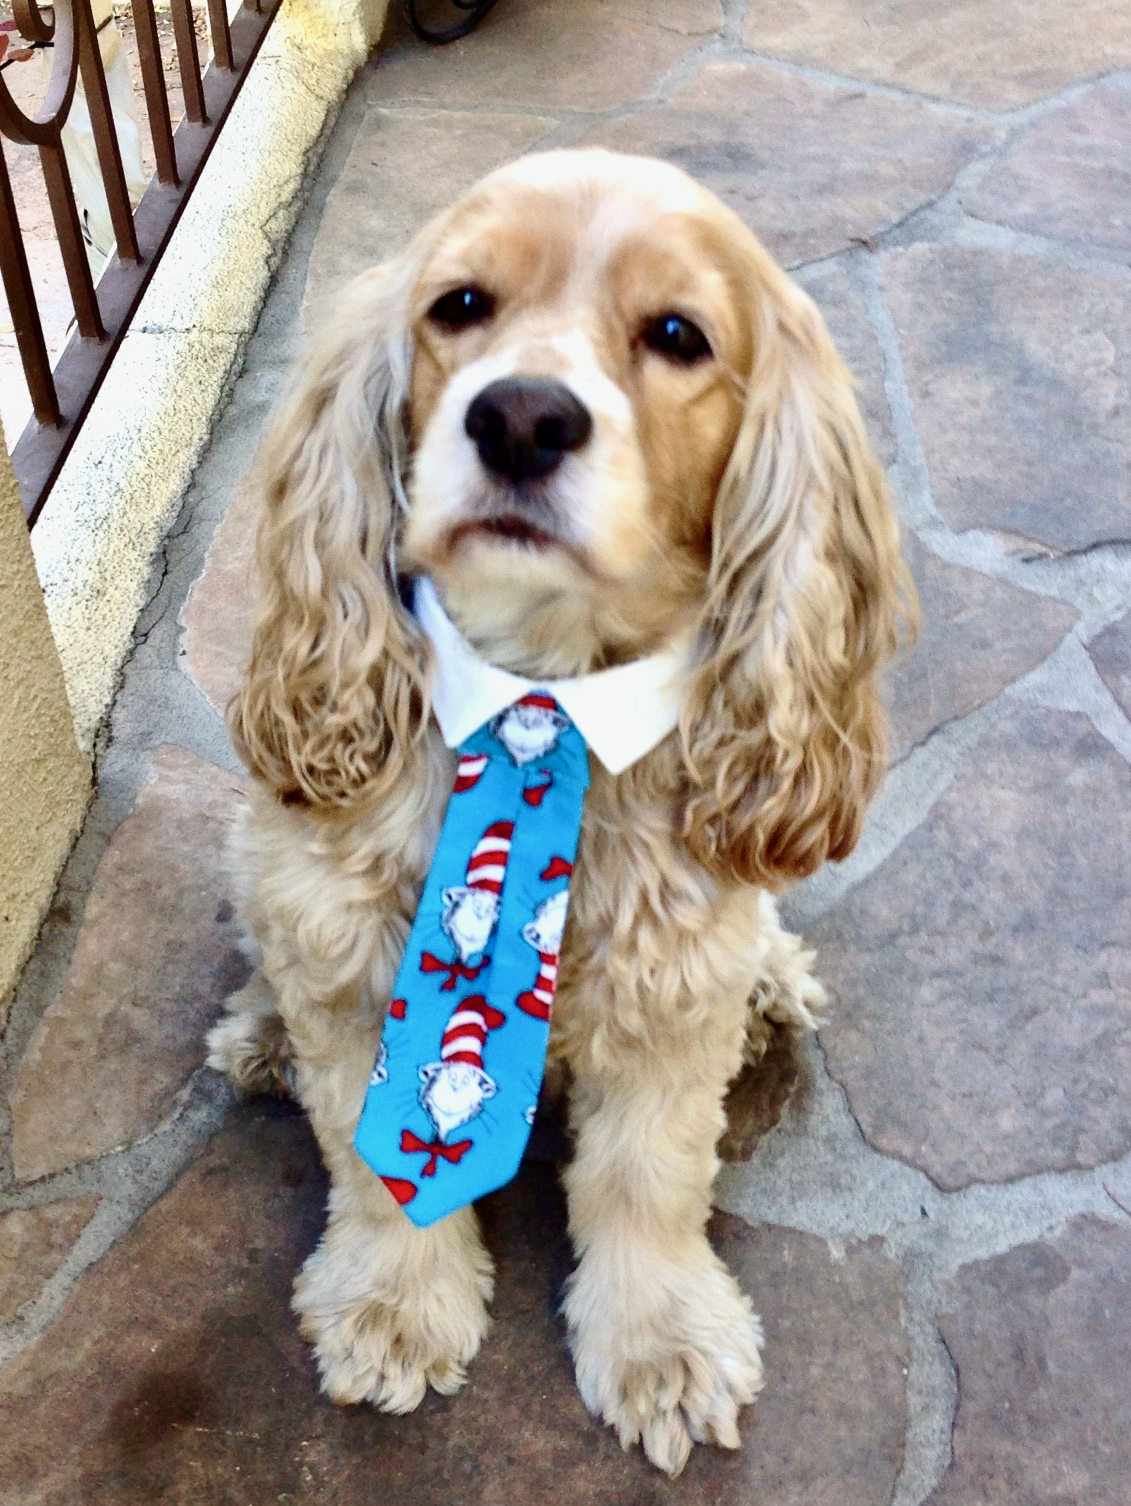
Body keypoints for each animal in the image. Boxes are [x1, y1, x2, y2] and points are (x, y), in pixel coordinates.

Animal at [206, 148, 914, 1476]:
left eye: (678, 335)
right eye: (461, 306)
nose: (522, 417)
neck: (540, 691)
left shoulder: (673, 989)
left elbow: (647, 1179)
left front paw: (663, 1346)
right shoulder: (346, 952)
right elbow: (374, 1158)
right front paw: (394, 1308)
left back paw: (776, 983)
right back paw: (257, 1033)